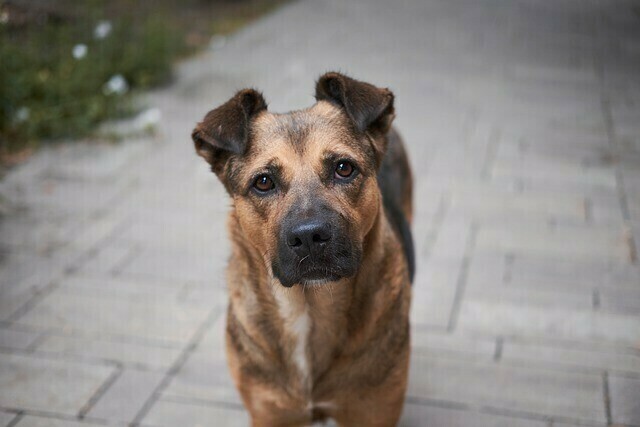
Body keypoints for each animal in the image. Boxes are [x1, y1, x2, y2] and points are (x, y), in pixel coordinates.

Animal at [191, 72, 416, 426]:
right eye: (263, 182)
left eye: (344, 168)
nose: (310, 237)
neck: (309, 308)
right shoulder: (270, 414)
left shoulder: (373, 412)